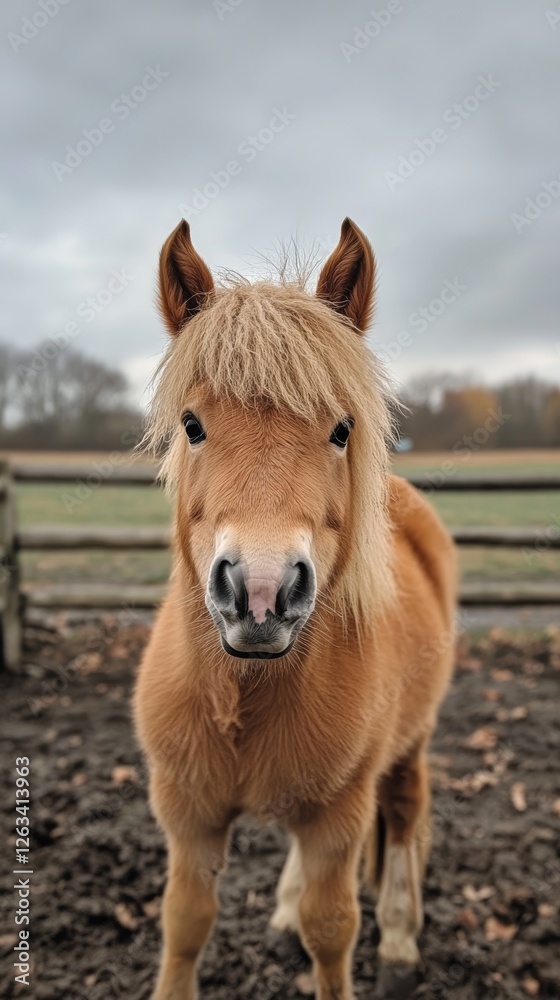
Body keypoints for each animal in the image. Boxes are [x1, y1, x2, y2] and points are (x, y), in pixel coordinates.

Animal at [134, 217, 457, 1000]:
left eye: (341, 429)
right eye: (192, 424)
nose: (260, 592)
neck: (243, 698)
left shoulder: (338, 818)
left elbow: (331, 930)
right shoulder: (188, 817)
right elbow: (184, 924)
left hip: (409, 747)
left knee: (405, 812)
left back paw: (399, 940)